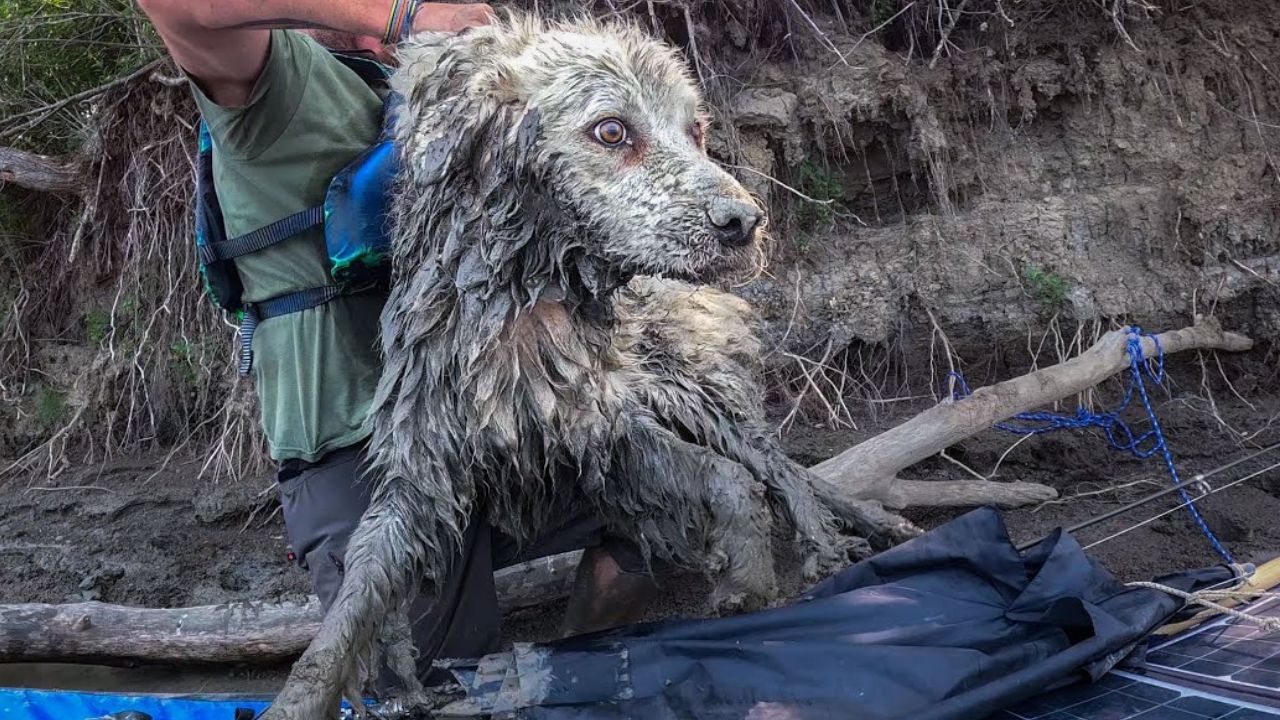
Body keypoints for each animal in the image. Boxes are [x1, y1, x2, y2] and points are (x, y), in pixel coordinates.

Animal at [259, 14, 916, 712]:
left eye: (696, 130)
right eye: (611, 130)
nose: (745, 223)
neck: (522, 313)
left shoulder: (608, 426)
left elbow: (733, 485)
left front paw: (746, 581)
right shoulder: (424, 470)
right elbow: (351, 603)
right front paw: (322, 691)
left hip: (700, 392)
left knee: (783, 470)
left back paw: (839, 537)